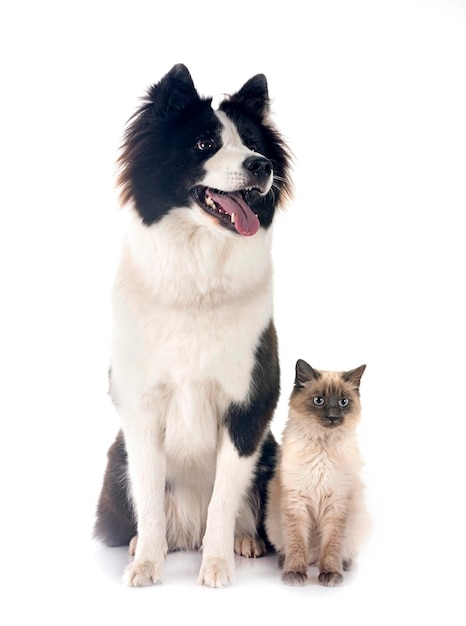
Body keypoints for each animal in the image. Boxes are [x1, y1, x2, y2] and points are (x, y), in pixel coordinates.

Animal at [93, 63, 294, 584]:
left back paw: (242, 541)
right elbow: (147, 493)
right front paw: (147, 564)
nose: (261, 165)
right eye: (205, 143)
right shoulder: (140, 407)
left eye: (252, 143)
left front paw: (217, 563)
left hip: (273, 450)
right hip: (115, 455)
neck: (197, 281)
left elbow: (224, 497)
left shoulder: (248, 407)